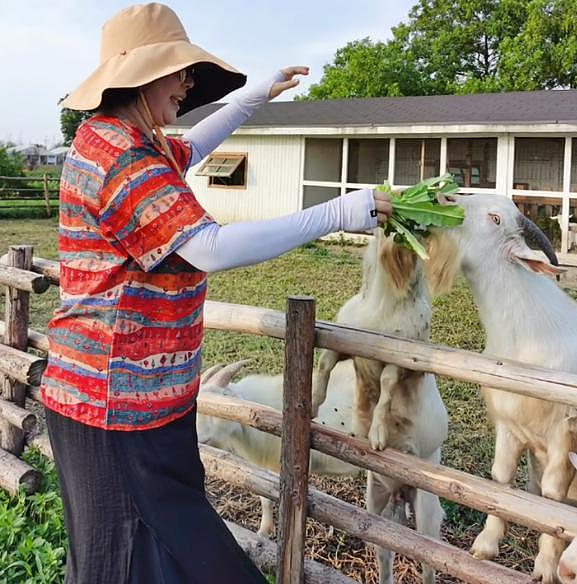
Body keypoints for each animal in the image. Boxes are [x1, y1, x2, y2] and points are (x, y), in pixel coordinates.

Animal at [308, 229, 448, 584]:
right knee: (385, 547)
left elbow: (385, 387)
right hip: (377, 499)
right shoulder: (345, 341)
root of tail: (401, 492)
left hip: (427, 509)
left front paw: (377, 437)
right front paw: (312, 404)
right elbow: (326, 362)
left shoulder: (399, 360)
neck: (381, 306)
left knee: (429, 560)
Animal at [426, 194, 572, 580]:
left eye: (495, 218)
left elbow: (552, 499)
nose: (444, 197)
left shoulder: (562, 436)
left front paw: (545, 568)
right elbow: (501, 479)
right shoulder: (510, 425)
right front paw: (485, 546)